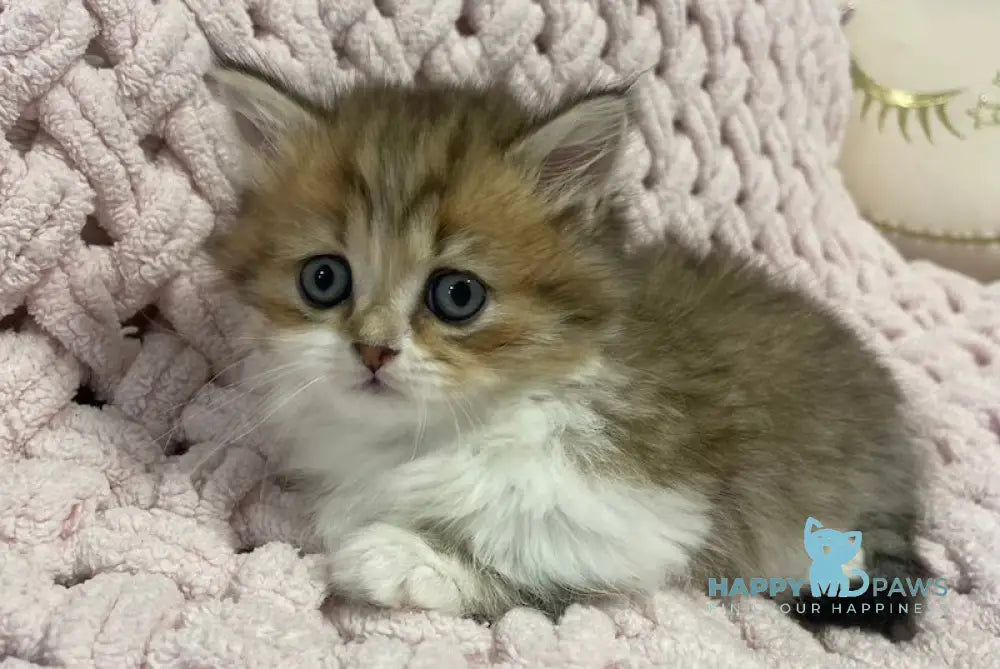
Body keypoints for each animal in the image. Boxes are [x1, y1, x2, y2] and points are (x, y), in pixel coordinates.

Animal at [207, 62, 932, 640]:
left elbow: (539, 558)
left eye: (457, 295)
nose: (373, 350)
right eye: (323, 279)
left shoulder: (653, 511)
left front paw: (406, 559)